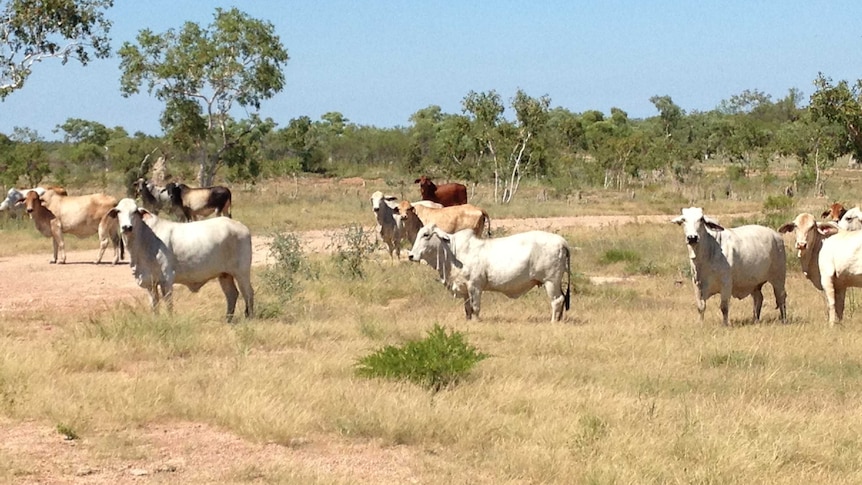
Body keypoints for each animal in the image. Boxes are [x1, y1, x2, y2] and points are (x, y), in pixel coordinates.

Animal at [107, 197, 253, 322]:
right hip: (224, 274)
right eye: (119, 211)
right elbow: (154, 305)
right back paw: (228, 319)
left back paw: (249, 317)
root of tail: (241, 226)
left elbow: (168, 304)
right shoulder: (150, 283)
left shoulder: (166, 279)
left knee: (248, 293)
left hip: (242, 272)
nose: (127, 227)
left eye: (135, 211)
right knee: (232, 294)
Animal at [406, 223, 572, 322]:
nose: (411, 256)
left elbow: (475, 307)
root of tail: (562, 242)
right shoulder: (465, 289)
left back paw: (553, 321)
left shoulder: (475, 286)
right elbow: (467, 308)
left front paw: (477, 321)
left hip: (550, 281)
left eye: (426, 235)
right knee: (562, 298)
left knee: (557, 300)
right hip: (555, 282)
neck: (452, 251)